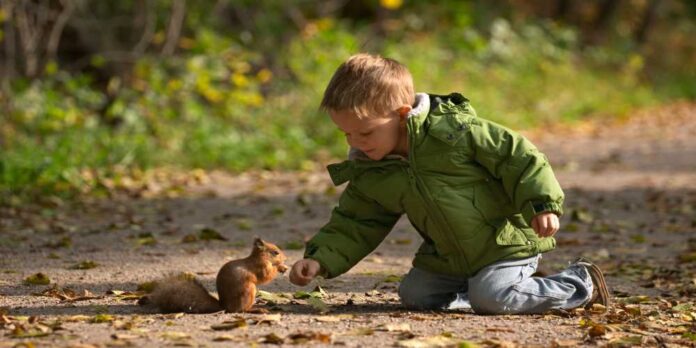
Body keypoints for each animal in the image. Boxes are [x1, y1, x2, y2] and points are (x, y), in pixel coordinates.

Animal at [141, 238, 288, 314]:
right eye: (275, 252)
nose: (286, 258)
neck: (260, 257)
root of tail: (225, 306)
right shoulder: (260, 267)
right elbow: (265, 276)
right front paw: (280, 267)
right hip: (248, 291)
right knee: (240, 310)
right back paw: (257, 309)